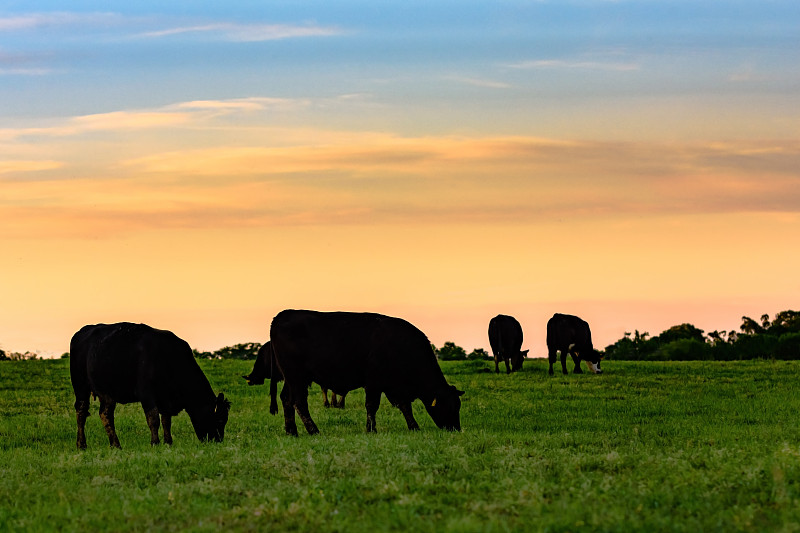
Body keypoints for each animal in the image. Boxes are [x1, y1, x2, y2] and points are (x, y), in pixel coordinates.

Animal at [70, 320, 230, 448]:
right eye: (220, 419)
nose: (218, 441)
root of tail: (84, 330)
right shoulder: (146, 394)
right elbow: (153, 419)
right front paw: (155, 443)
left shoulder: (166, 399)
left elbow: (166, 421)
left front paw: (168, 442)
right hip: (80, 385)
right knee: (82, 411)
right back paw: (82, 444)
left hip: (107, 393)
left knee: (105, 414)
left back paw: (115, 445)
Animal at [272, 310, 466, 434]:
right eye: (448, 406)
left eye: (458, 405)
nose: (456, 429)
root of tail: (282, 315)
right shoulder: (374, 382)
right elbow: (372, 405)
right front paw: (371, 429)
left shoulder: (396, 387)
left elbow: (405, 406)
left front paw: (414, 427)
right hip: (297, 377)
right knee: (299, 402)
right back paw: (313, 430)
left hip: (291, 379)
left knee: (286, 399)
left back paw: (292, 431)